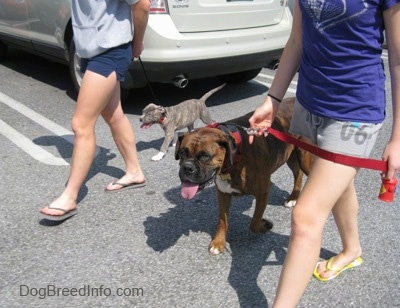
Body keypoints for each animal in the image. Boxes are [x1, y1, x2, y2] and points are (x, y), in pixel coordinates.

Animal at [174, 97, 312, 255]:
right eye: (183, 152)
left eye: (204, 156)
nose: (187, 168)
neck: (236, 156)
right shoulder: (223, 193)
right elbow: (222, 220)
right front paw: (218, 242)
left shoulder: (264, 191)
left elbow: (254, 222)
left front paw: (265, 225)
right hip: (291, 156)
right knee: (298, 173)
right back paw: (293, 197)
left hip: (304, 157)